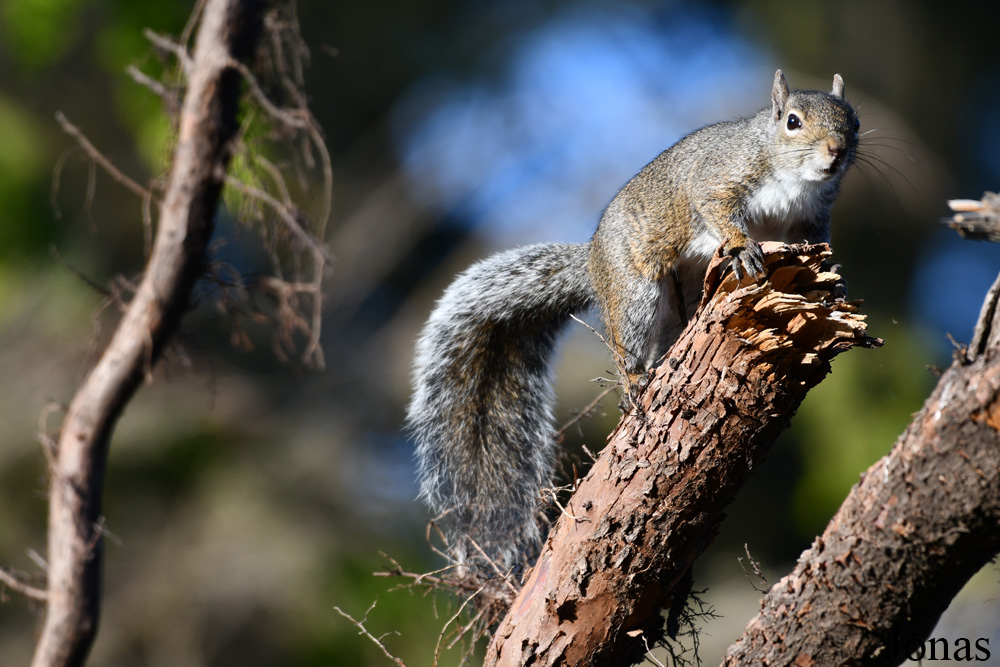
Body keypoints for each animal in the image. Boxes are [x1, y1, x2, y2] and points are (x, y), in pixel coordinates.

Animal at [406, 68, 860, 572]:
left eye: (853, 121)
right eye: (793, 121)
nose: (836, 150)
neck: (793, 180)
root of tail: (594, 264)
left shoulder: (810, 224)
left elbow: (820, 250)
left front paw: (836, 281)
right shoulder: (719, 178)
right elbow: (716, 208)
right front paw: (742, 247)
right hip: (636, 293)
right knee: (626, 347)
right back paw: (637, 383)